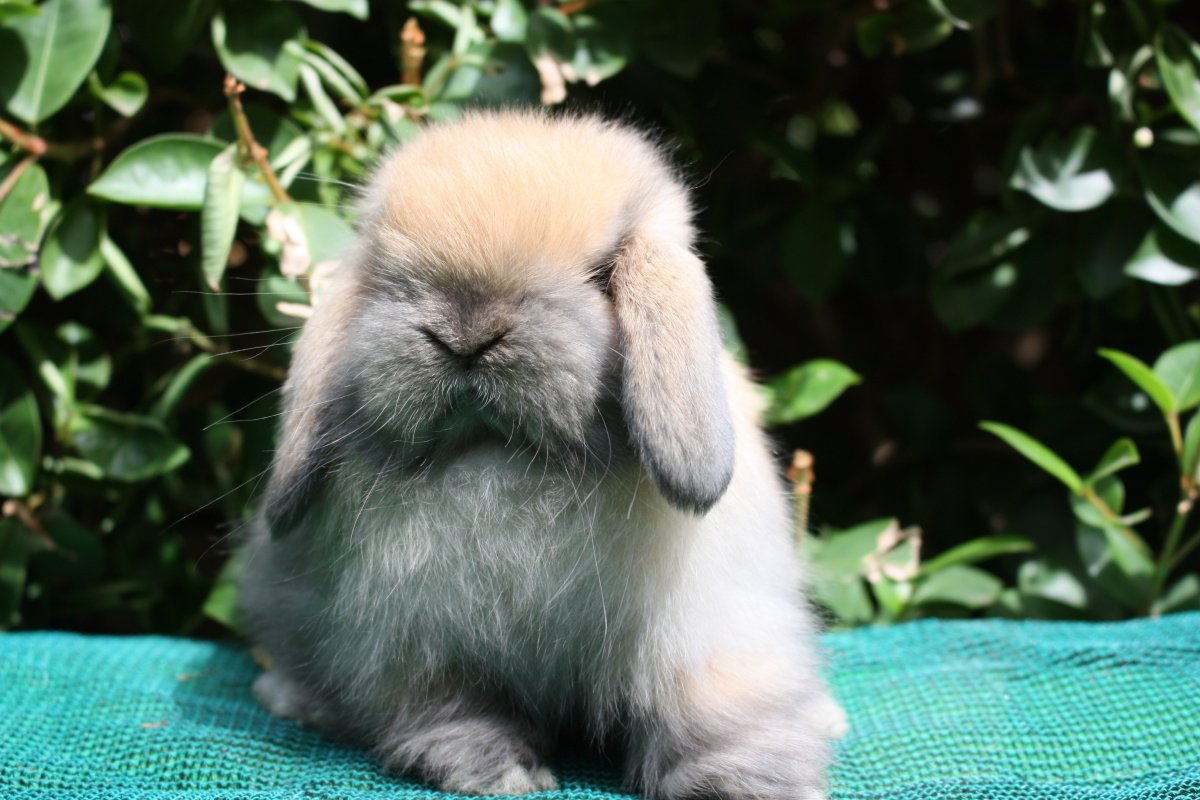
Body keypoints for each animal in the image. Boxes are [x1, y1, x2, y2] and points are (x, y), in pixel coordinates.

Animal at [236, 110, 845, 800]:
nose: (466, 336)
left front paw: (745, 784)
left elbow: (715, 715)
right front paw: (494, 770)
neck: (506, 463)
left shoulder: (704, 638)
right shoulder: (419, 649)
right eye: (391, 277)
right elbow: (454, 711)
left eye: (603, 274)